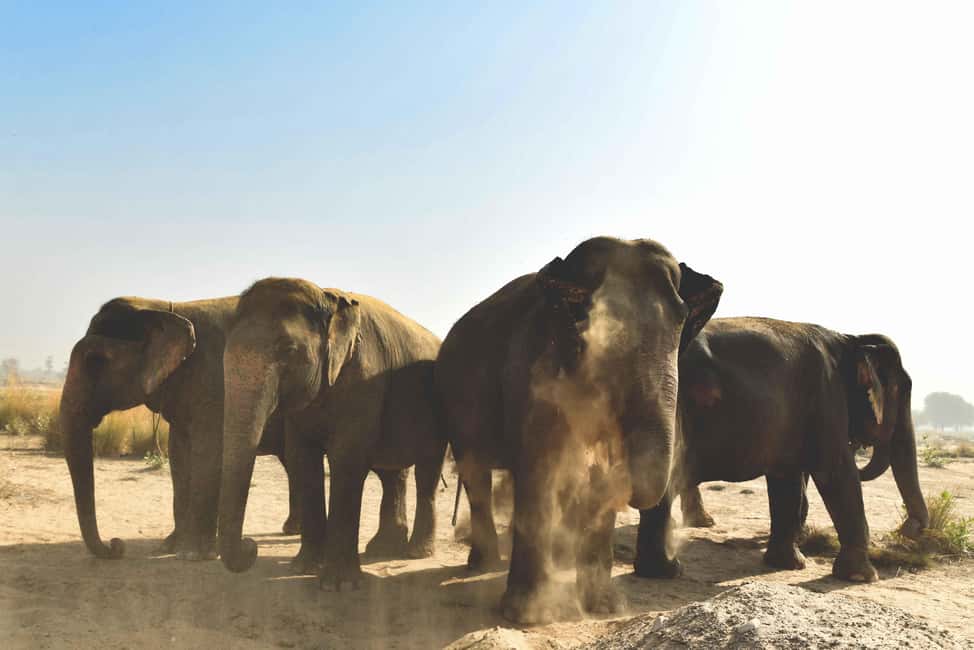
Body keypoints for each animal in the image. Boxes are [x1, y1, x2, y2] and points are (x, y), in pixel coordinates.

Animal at [59, 296, 306, 561]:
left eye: (95, 362)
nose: (117, 544)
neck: (160, 309)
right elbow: (178, 454)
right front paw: (169, 547)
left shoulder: (215, 384)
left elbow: (207, 451)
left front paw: (195, 555)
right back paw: (292, 529)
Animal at [217, 278, 447, 589]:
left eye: (288, 350)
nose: (251, 545)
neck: (327, 298)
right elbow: (302, 460)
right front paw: (302, 568)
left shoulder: (365, 377)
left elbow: (346, 458)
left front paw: (338, 585)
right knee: (391, 474)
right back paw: (383, 549)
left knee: (427, 473)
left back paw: (416, 552)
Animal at [435, 236, 723, 624]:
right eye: (600, 322)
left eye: (682, 318)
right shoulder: (530, 365)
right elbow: (539, 466)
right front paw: (526, 615)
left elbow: (599, 472)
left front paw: (604, 608)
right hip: (454, 402)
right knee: (476, 473)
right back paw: (484, 565)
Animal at [634, 317, 930, 584]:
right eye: (899, 391)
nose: (909, 528)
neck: (850, 339)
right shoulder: (826, 396)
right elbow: (835, 470)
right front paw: (862, 577)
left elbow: (787, 480)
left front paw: (789, 564)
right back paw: (669, 570)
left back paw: (659, 569)